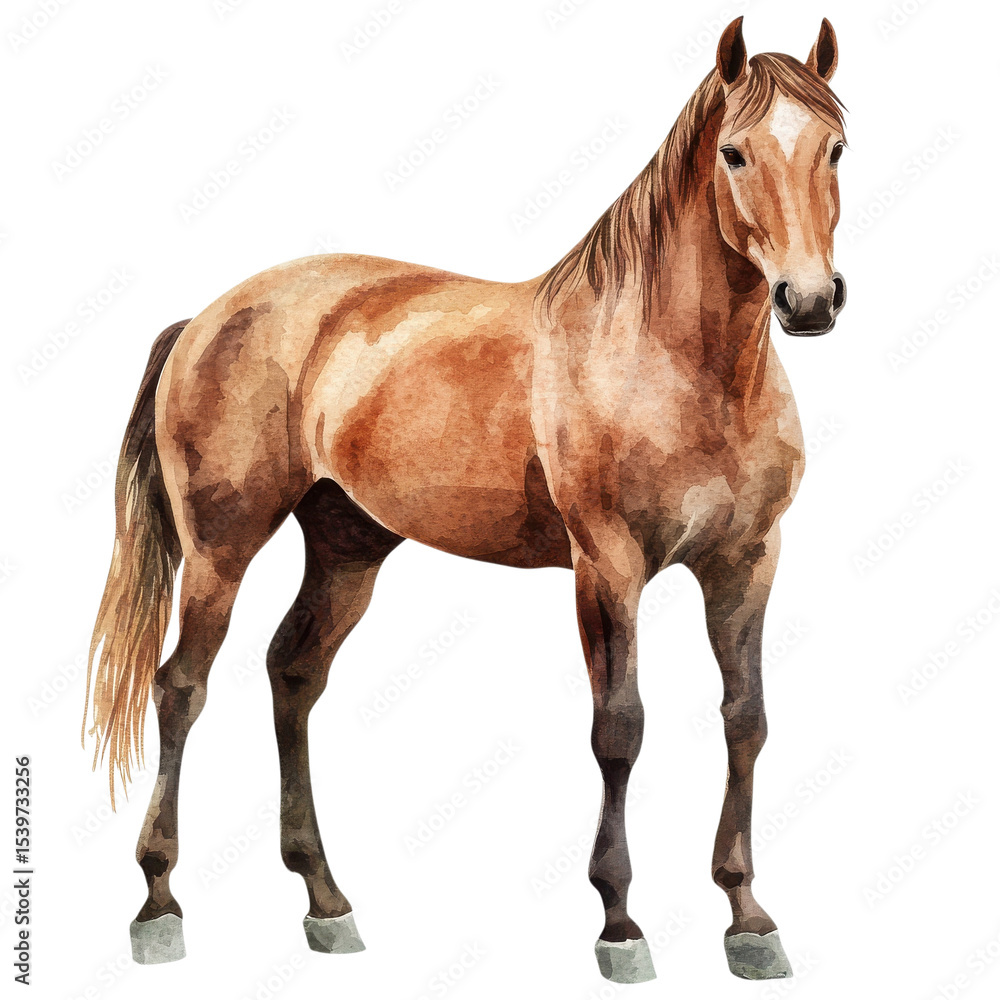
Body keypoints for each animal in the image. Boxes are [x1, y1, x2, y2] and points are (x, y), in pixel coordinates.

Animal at [83, 16, 847, 983]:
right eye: (735, 153)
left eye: (836, 145)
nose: (809, 300)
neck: (672, 360)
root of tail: (208, 316)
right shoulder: (607, 566)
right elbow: (620, 728)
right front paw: (619, 924)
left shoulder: (746, 561)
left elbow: (745, 720)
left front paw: (748, 921)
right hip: (222, 548)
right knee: (181, 685)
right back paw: (160, 903)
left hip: (348, 547)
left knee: (292, 674)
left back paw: (325, 902)